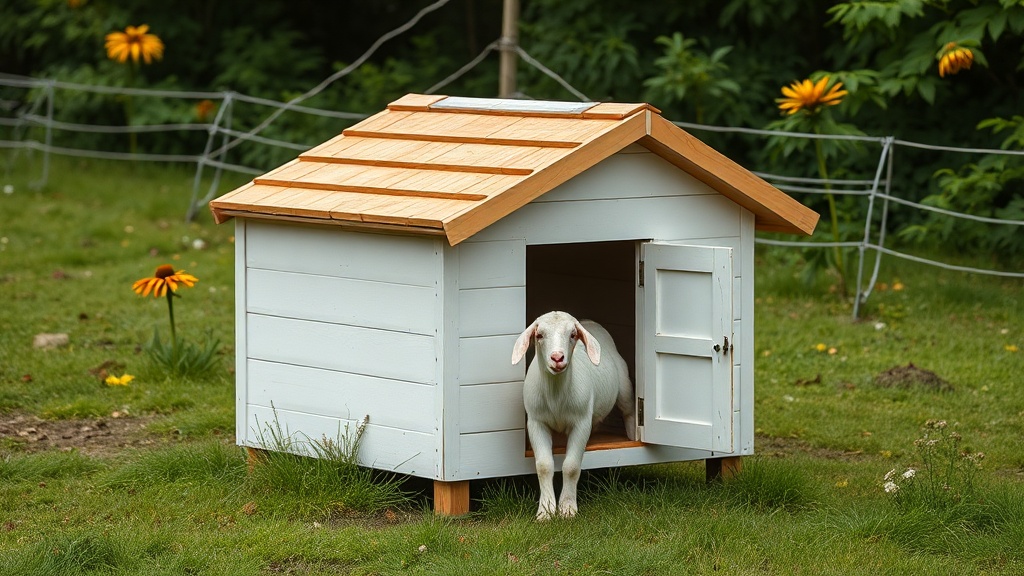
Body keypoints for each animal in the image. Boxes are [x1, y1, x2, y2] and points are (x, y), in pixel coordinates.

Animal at [511, 311, 636, 520]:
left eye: (572, 335)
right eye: (539, 335)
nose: (557, 357)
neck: (556, 395)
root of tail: (590, 322)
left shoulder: (581, 422)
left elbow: (571, 466)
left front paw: (567, 508)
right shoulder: (536, 422)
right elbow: (544, 465)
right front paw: (545, 511)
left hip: (624, 385)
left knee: (629, 411)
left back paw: (634, 435)